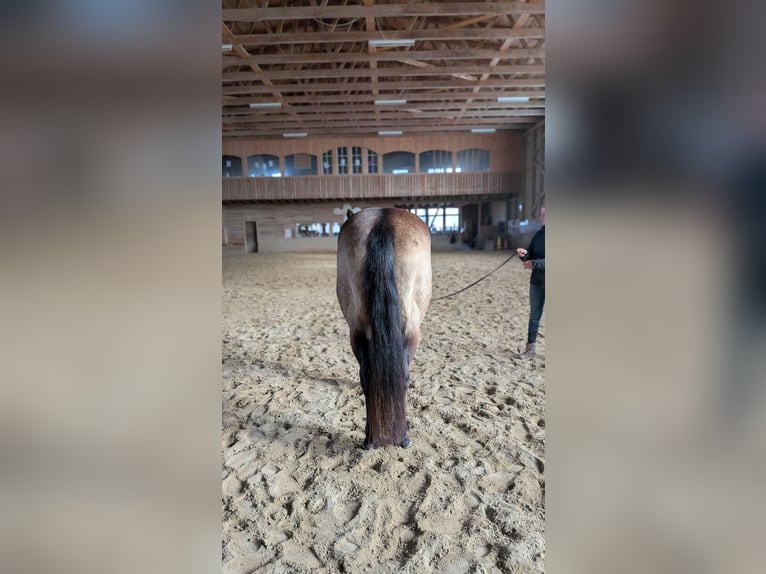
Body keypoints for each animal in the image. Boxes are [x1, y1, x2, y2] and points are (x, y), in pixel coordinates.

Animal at [336, 207, 432, 449]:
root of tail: (383, 221)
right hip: (412, 333)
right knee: (403, 375)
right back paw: (400, 438)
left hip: (357, 332)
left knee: (367, 376)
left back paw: (370, 439)